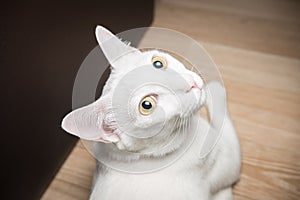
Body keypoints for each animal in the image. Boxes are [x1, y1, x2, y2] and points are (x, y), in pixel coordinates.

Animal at [61, 26, 241, 200]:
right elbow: (223, 119)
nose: (191, 84)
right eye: (146, 105)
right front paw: (215, 88)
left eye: (158, 63)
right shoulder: (228, 157)